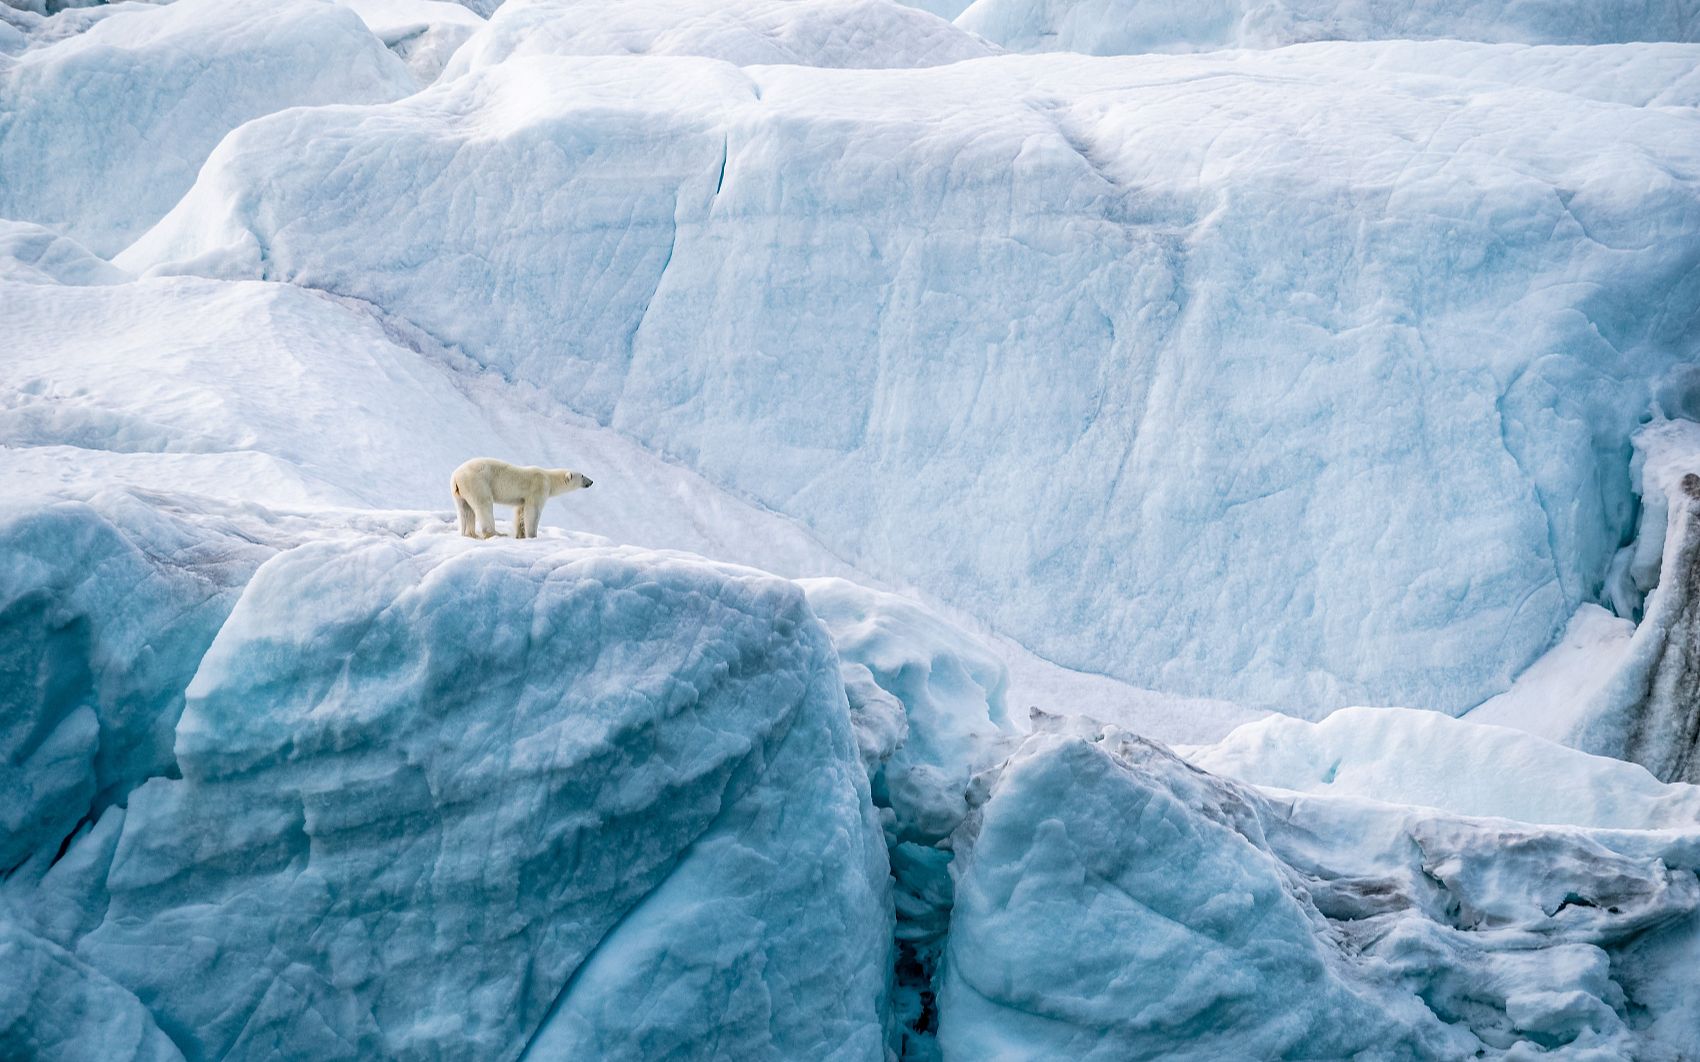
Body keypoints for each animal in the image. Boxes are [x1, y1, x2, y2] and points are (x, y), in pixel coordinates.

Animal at [448, 455, 595, 536]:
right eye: (582, 475)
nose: (591, 481)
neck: (549, 477)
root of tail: (455, 476)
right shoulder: (538, 488)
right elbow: (533, 511)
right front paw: (533, 535)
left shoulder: (522, 498)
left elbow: (520, 512)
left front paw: (520, 535)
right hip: (477, 482)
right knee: (483, 505)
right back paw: (496, 533)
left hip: (459, 491)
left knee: (464, 510)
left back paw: (469, 533)